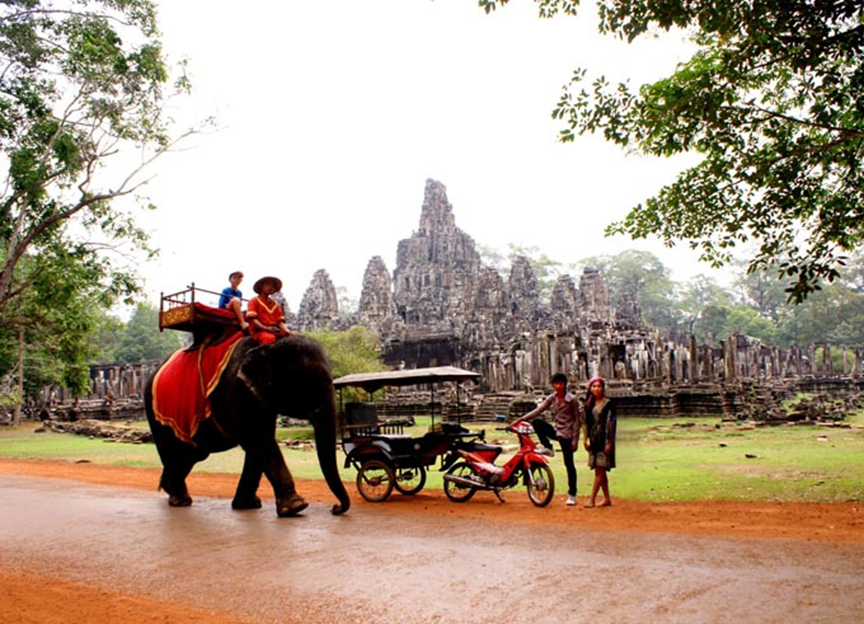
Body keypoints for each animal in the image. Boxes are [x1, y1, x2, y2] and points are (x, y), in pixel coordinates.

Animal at [145, 336, 352, 516]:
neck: (268, 344)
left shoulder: (259, 396)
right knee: (174, 452)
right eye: (304, 385)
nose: (335, 508)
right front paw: (295, 507)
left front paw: (247, 505)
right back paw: (180, 500)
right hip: (158, 417)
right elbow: (258, 440)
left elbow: (259, 444)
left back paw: (168, 488)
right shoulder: (236, 391)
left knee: (189, 455)